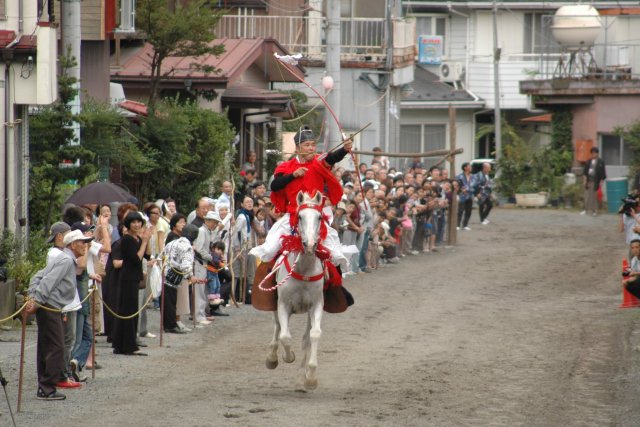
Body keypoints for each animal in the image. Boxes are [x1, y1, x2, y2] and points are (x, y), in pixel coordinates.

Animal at [264, 191, 324, 392]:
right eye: (300, 216)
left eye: (320, 217)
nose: (310, 244)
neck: (304, 269)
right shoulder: (283, 304)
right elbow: (285, 335)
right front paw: (286, 357)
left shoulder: (316, 305)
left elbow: (313, 335)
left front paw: (310, 377)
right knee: (276, 327)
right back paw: (272, 358)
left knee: (306, 337)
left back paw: (301, 380)